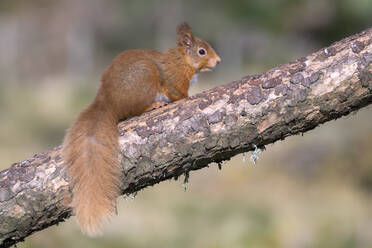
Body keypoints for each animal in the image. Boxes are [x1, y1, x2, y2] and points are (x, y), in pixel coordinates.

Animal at [61, 22, 221, 234]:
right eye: (201, 51)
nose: (218, 61)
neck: (181, 60)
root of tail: (107, 101)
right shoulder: (174, 80)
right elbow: (179, 93)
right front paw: (188, 97)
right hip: (145, 78)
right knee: (134, 111)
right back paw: (153, 105)